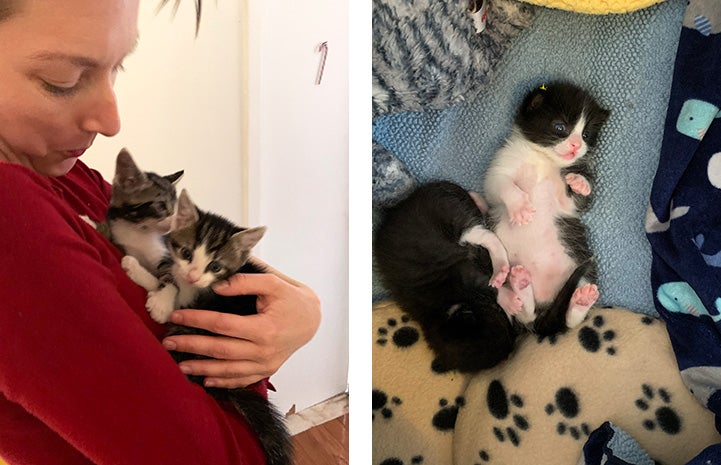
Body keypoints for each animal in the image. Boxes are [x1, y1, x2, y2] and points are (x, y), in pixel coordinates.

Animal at [372, 179, 516, 372]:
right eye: (499, 314)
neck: (435, 311)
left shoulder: (455, 274)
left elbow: (484, 283)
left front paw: (509, 299)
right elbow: (486, 285)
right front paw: (508, 300)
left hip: (452, 217)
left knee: (487, 236)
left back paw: (499, 267)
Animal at [484, 82, 608, 334]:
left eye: (586, 134)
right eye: (560, 127)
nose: (576, 145)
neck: (543, 158)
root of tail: (544, 303)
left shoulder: (565, 202)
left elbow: (573, 201)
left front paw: (581, 183)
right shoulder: (500, 165)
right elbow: (500, 185)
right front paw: (519, 206)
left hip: (582, 265)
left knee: (566, 321)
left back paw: (580, 302)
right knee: (525, 315)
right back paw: (519, 288)